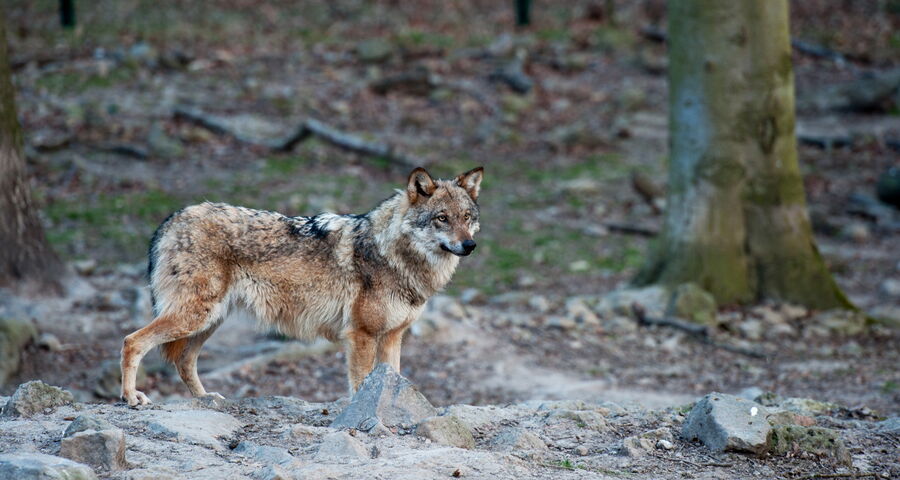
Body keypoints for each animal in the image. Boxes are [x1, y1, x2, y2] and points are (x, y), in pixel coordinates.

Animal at [120, 167, 483, 406]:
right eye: (442, 218)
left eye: (467, 217)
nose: (469, 246)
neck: (393, 253)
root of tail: (172, 219)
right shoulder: (361, 335)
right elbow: (361, 383)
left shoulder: (394, 336)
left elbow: (391, 380)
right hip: (194, 317)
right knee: (131, 341)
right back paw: (131, 397)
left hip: (208, 321)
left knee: (183, 361)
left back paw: (206, 398)